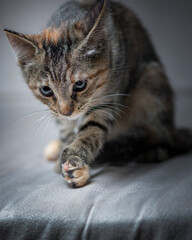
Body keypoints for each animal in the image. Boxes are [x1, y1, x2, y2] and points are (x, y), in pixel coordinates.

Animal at [4, 0, 192, 188]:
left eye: (80, 84)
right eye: (46, 90)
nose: (67, 111)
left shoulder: (106, 98)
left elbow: (91, 130)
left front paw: (74, 162)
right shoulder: (58, 113)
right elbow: (66, 129)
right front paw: (65, 152)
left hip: (151, 80)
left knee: (158, 135)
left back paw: (153, 149)